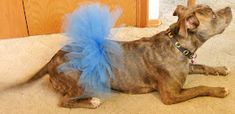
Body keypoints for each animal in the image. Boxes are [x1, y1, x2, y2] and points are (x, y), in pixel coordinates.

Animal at [23, 4, 232, 108]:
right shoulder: (171, 95)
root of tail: (52, 59)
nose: (230, 8)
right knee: (64, 101)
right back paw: (91, 101)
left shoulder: (189, 66)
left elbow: (203, 66)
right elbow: (199, 88)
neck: (179, 45)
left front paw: (221, 69)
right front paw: (219, 90)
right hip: (80, 80)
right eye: (213, 15)